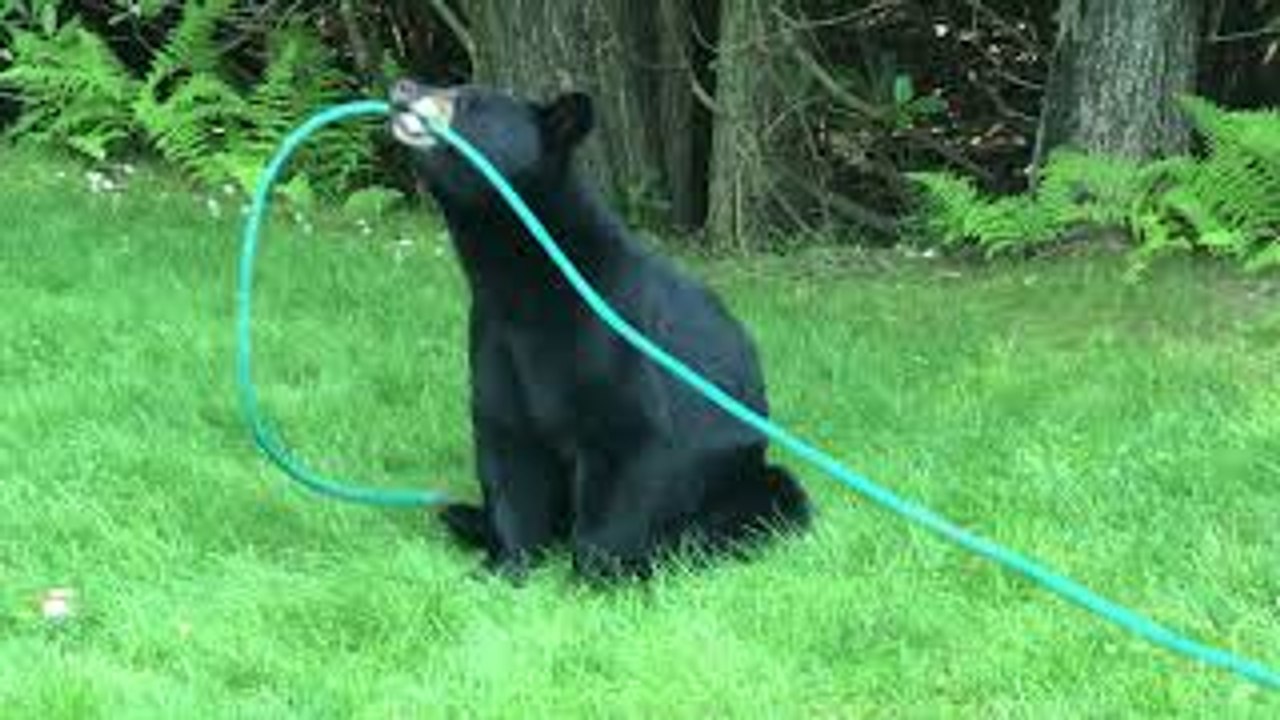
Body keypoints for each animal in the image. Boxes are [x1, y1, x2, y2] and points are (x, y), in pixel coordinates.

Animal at [388, 79, 811, 580]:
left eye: (467, 101)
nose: (402, 86)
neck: (522, 280)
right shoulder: (497, 339)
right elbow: (508, 446)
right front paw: (503, 565)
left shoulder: (613, 336)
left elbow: (627, 444)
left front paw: (598, 574)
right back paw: (465, 516)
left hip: (738, 475)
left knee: (771, 499)